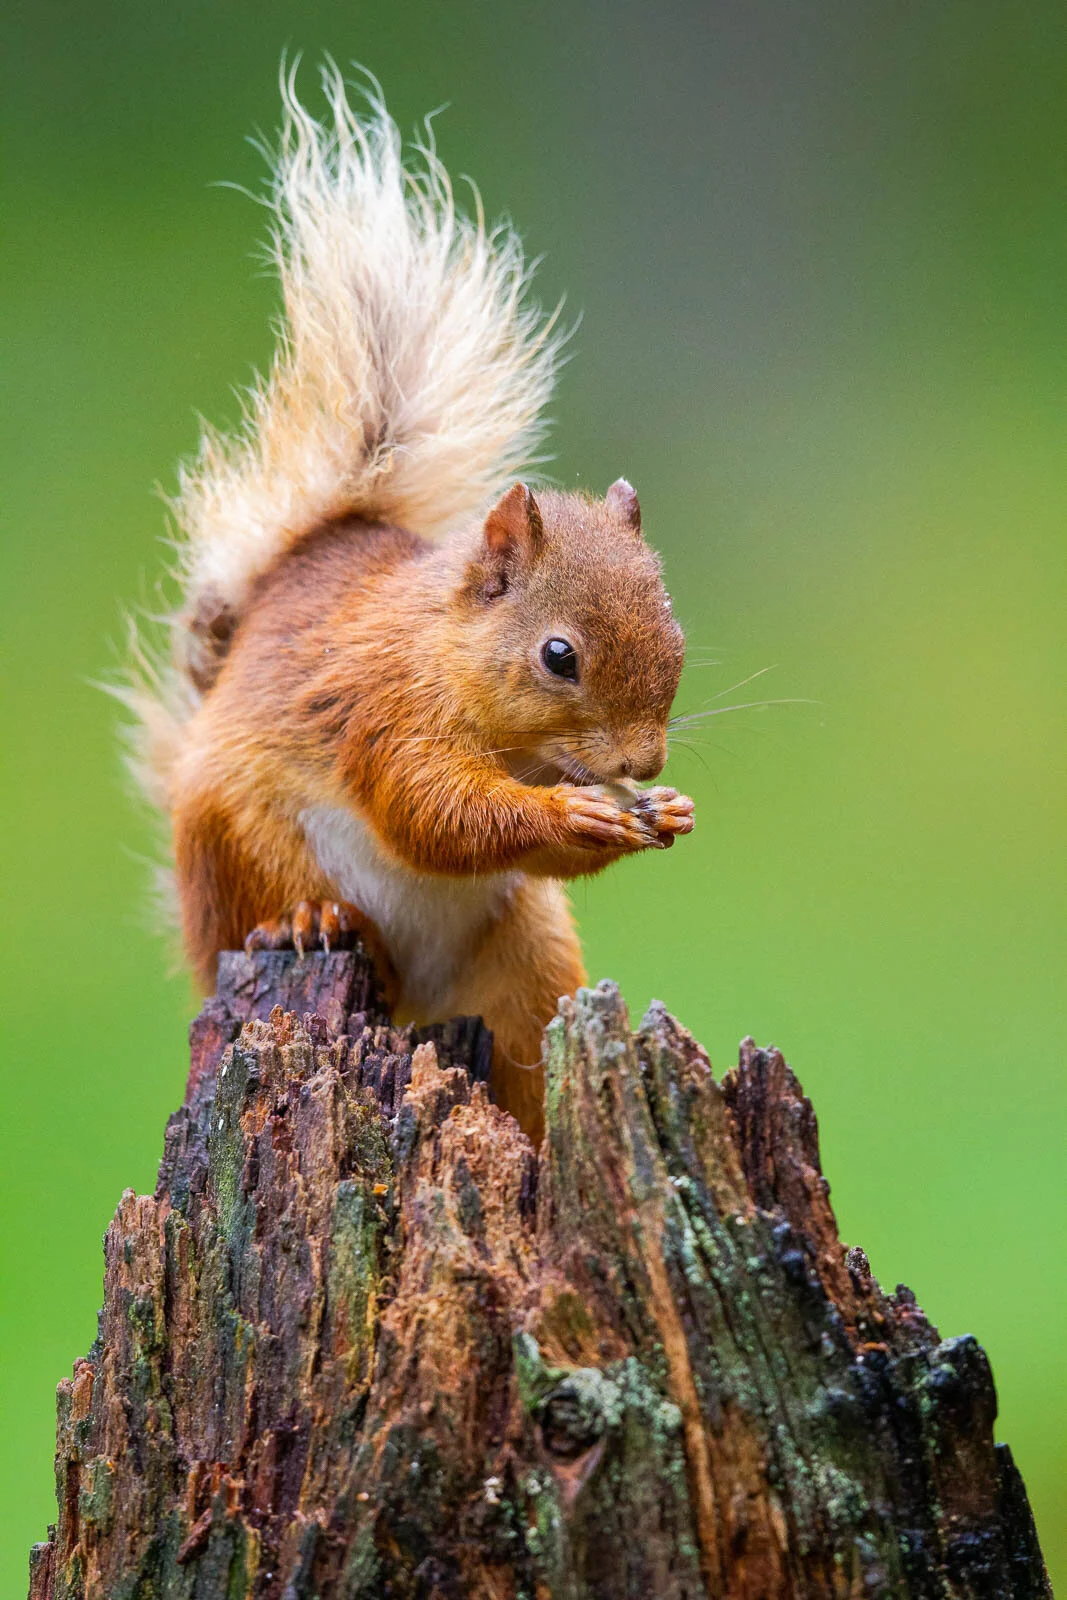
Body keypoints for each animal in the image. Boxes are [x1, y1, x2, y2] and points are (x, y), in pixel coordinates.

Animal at [123, 65, 694, 1144]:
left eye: (678, 639)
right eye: (558, 655)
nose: (641, 765)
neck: (451, 653)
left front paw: (664, 810)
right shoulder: (384, 709)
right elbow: (436, 811)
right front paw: (573, 813)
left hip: (525, 965)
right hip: (232, 843)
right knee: (272, 906)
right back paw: (303, 919)